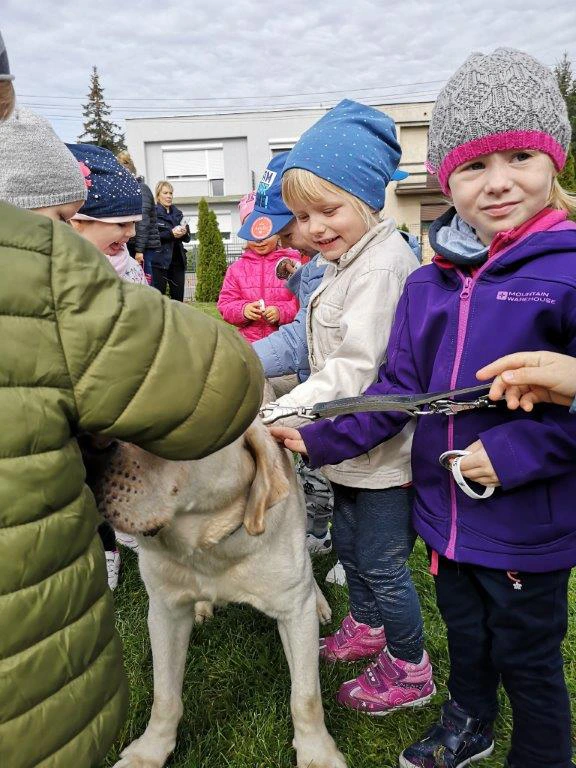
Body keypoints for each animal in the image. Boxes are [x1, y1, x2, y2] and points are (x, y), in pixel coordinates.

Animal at [92, 416, 346, 768]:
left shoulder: (294, 613)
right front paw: (150, 751)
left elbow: (305, 696)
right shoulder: (164, 612)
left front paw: (318, 754)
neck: (209, 548)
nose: (86, 447)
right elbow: (165, 695)